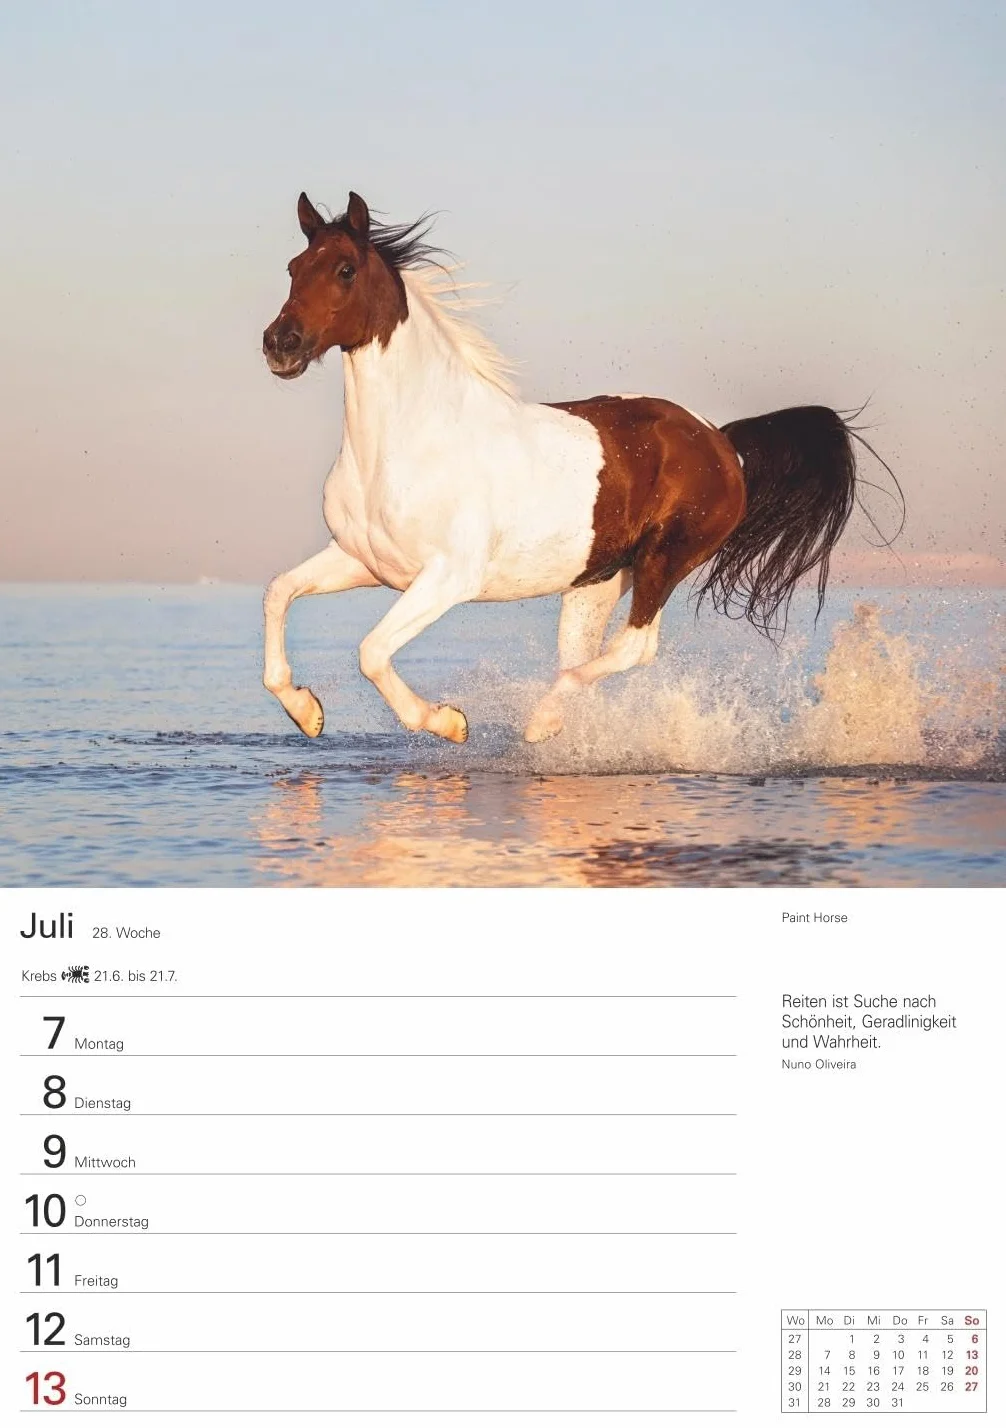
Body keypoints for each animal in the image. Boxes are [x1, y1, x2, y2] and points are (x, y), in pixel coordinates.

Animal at [262, 190, 895, 745]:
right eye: (293, 268)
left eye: (345, 269)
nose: (279, 344)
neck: (407, 441)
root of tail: (721, 440)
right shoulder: (363, 560)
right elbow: (278, 592)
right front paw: (307, 712)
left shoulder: (449, 577)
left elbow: (372, 651)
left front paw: (448, 722)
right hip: (596, 583)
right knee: (593, 654)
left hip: (665, 559)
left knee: (635, 648)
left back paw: (541, 721)